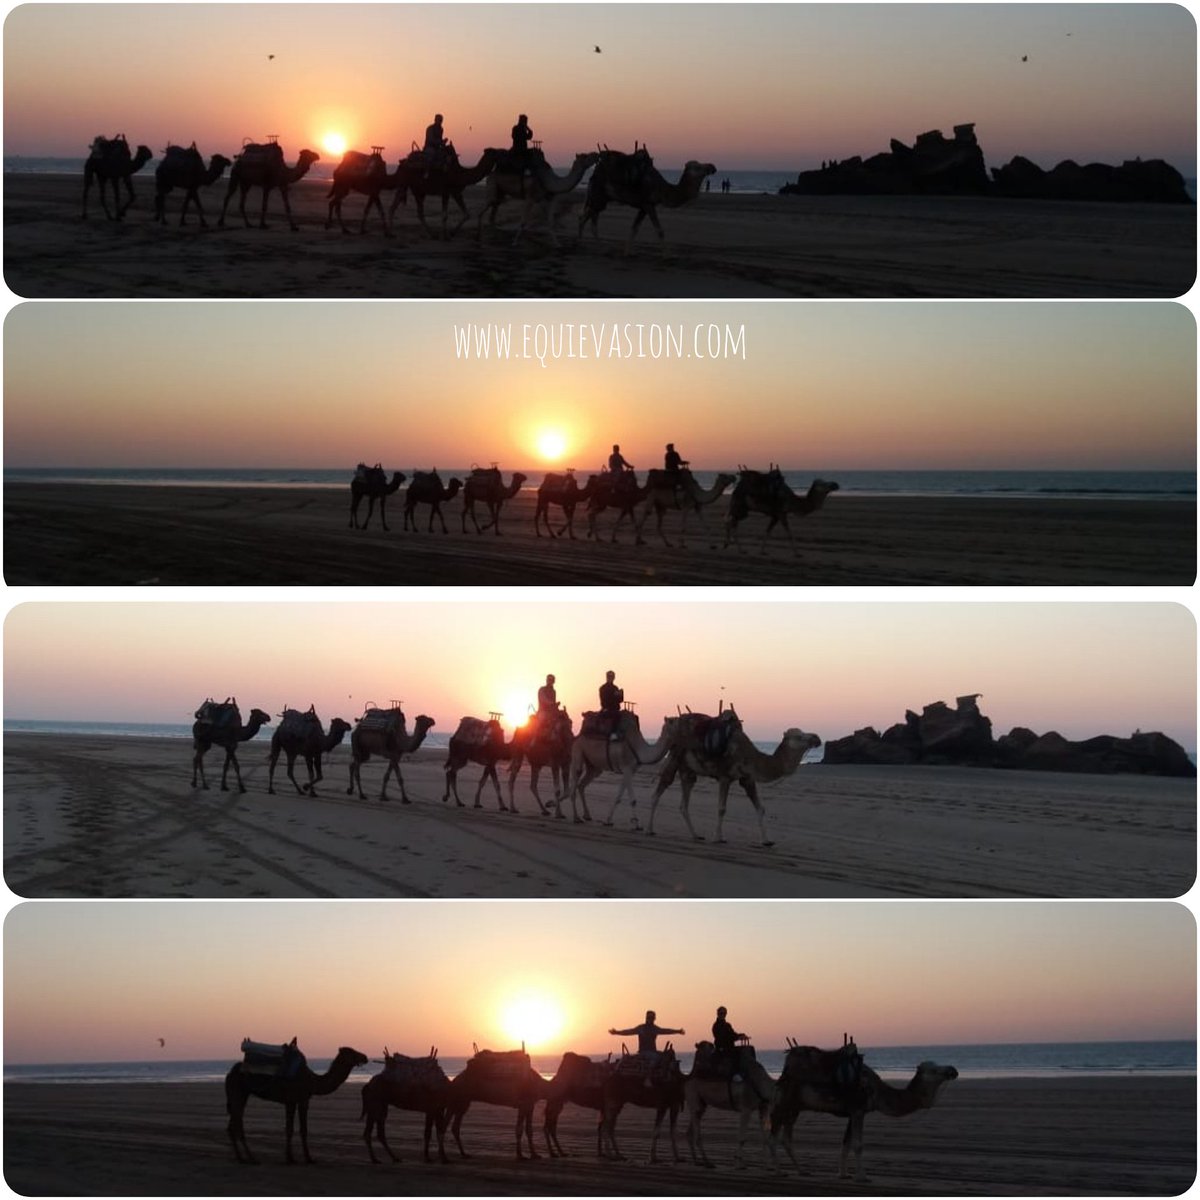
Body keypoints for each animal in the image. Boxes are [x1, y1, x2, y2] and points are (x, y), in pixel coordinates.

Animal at [225, 1041, 364, 1161]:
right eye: (351, 1052)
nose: (365, 1057)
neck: (313, 1081)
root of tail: (229, 1073)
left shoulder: (298, 1101)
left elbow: (297, 1129)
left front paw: (296, 1157)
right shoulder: (296, 1100)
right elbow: (294, 1129)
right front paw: (301, 1158)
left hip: (242, 1094)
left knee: (233, 1123)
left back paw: (242, 1158)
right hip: (237, 1092)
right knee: (236, 1123)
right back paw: (249, 1158)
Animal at [578, 151, 710, 252]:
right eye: (697, 167)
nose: (712, 167)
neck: (662, 189)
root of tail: (592, 177)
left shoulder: (644, 207)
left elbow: (634, 229)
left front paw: (626, 252)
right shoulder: (648, 204)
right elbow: (659, 231)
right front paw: (667, 256)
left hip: (600, 200)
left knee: (592, 220)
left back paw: (598, 246)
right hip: (598, 197)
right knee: (584, 219)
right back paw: (581, 244)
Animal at [648, 715, 825, 849]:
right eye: (799, 736)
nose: (817, 738)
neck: (748, 755)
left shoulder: (747, 778)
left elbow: (761, 808)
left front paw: (766, 841)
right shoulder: (725, 777)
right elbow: (721, 809)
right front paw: (718, 837)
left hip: (687, 770)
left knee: (684, 801)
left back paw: (696, 835)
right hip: (675, 757)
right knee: (659, 790)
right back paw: (650, 830)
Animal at [768, 1041, 964, 1180]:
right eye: (934, 1069)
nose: (953, 1070)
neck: (876, 1091)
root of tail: (784, 1073)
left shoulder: (853, 1113)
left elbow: (846, 1143)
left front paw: (843, 1174)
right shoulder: (858, 1110)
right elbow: (858, 1144)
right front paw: (862, 1176)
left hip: (794, 1108)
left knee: (786, 1138)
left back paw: (802, 1171)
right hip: (784, 1103)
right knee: (773, 1136)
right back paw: (778, 1172)